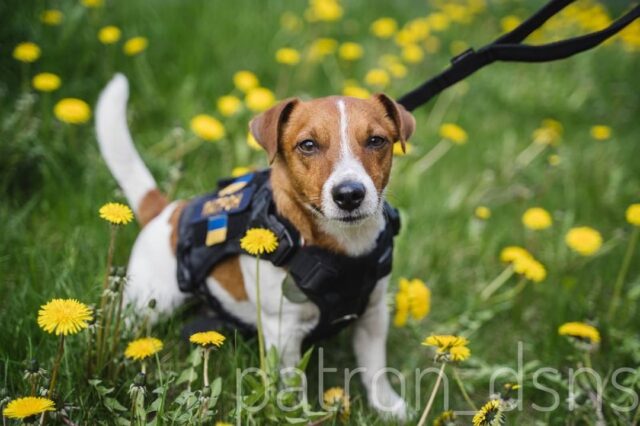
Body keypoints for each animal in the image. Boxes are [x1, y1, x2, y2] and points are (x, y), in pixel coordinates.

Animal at [94, 74, 416, 420]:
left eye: (376, 140)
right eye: (308, 144)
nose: (349, 194)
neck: (343, 247)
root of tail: (167, 212)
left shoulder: (373, 316)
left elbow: (375, 369)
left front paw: (389, 407)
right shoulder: (284, 333)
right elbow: (293, 386)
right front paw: (296, 415)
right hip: (148, 304)